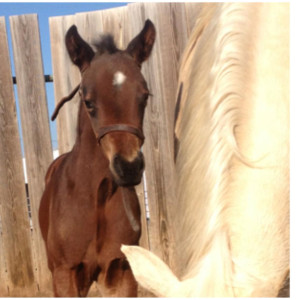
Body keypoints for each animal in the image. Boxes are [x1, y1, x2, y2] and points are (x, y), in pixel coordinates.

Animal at [39, 19, 156, 296]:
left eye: (145, 96)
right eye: (89, 102)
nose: (129, 167)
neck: (97, 198)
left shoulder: (120, 272)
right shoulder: (65, 274)